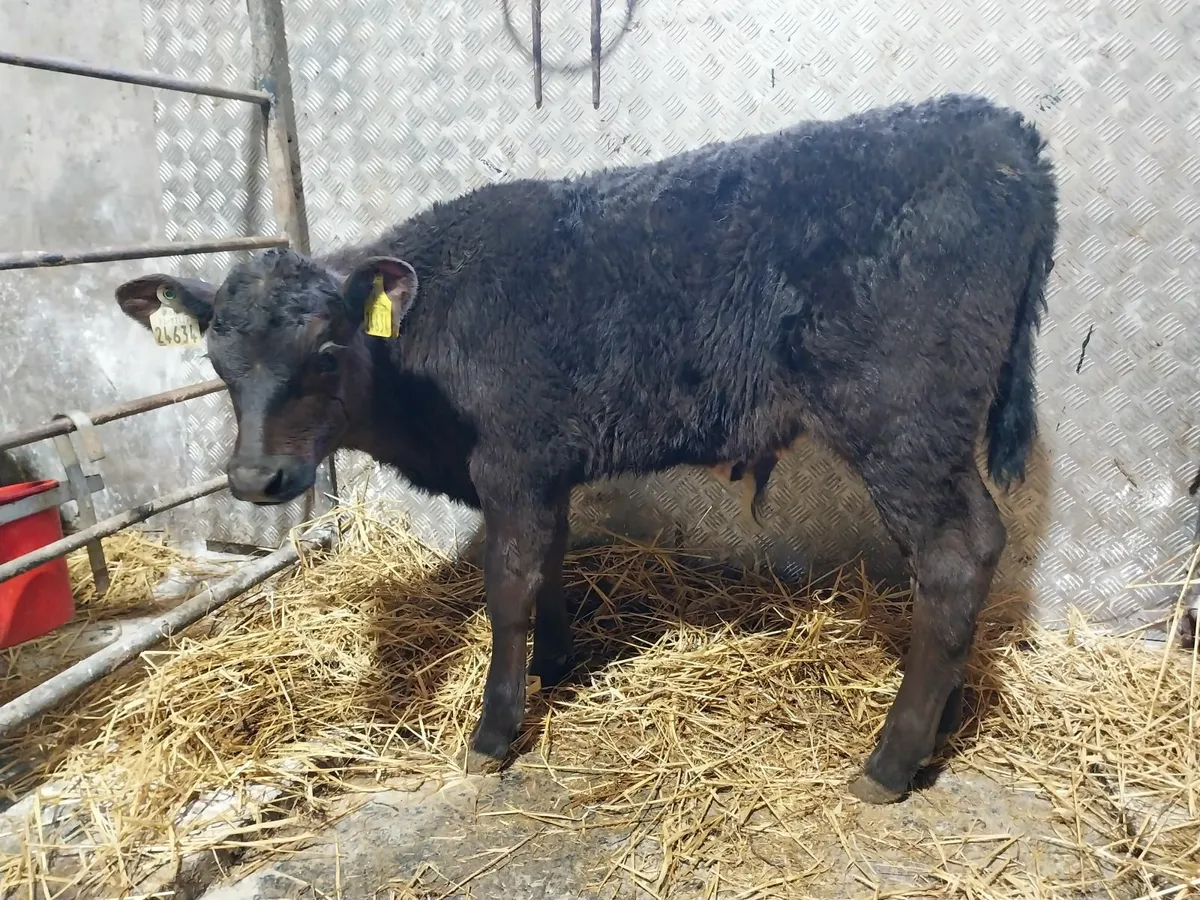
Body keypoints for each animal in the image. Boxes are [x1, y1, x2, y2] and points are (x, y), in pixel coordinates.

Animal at [113, 93, 1058, 804]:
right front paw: (557, 666)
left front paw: (495, 730)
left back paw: (891, 762)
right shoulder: (545, 468)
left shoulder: (509, 463)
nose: (256, 476)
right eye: (216, 360)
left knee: (957, 554)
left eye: (327, 349)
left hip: (902, 423)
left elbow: (509, 585)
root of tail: (1002, 130)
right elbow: (552, 562)